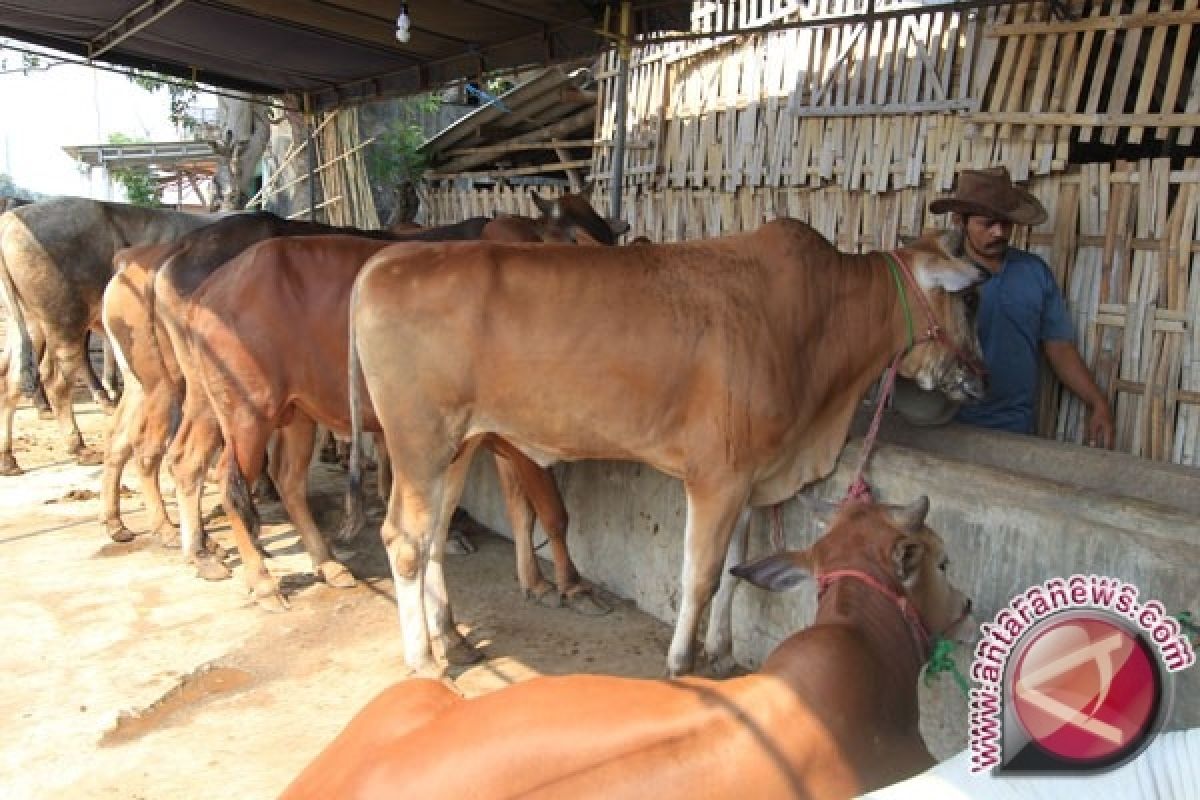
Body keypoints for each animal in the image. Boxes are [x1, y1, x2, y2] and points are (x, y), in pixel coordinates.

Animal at [345, 219, 984, 676]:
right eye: (970, 301)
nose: (980, 375)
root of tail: (383, 261)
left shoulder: (752, 477)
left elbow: (735, 570)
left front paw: (721, 651)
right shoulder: (717, 476)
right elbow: (700, 573)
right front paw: (682, 659)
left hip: (457, 446)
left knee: (433, 537)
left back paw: (451, 637)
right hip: (420, 442)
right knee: (405, 541)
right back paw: (424, 660)